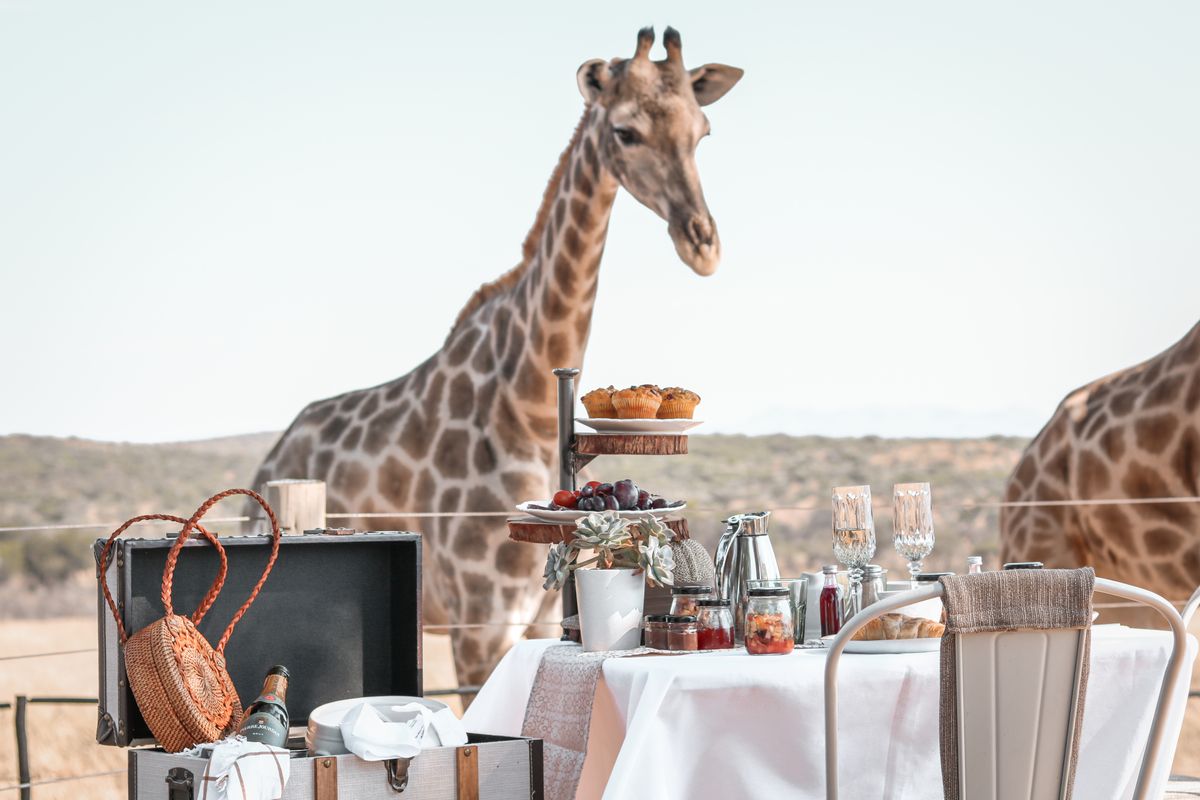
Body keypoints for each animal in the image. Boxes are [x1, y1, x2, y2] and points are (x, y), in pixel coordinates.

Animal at [249, 27, 742, 688]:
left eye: (702, 130)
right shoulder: (482, 617)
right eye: (624, 131)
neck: (526, 403)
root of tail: (275, 456)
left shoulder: (537, 606)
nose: (703, 245)